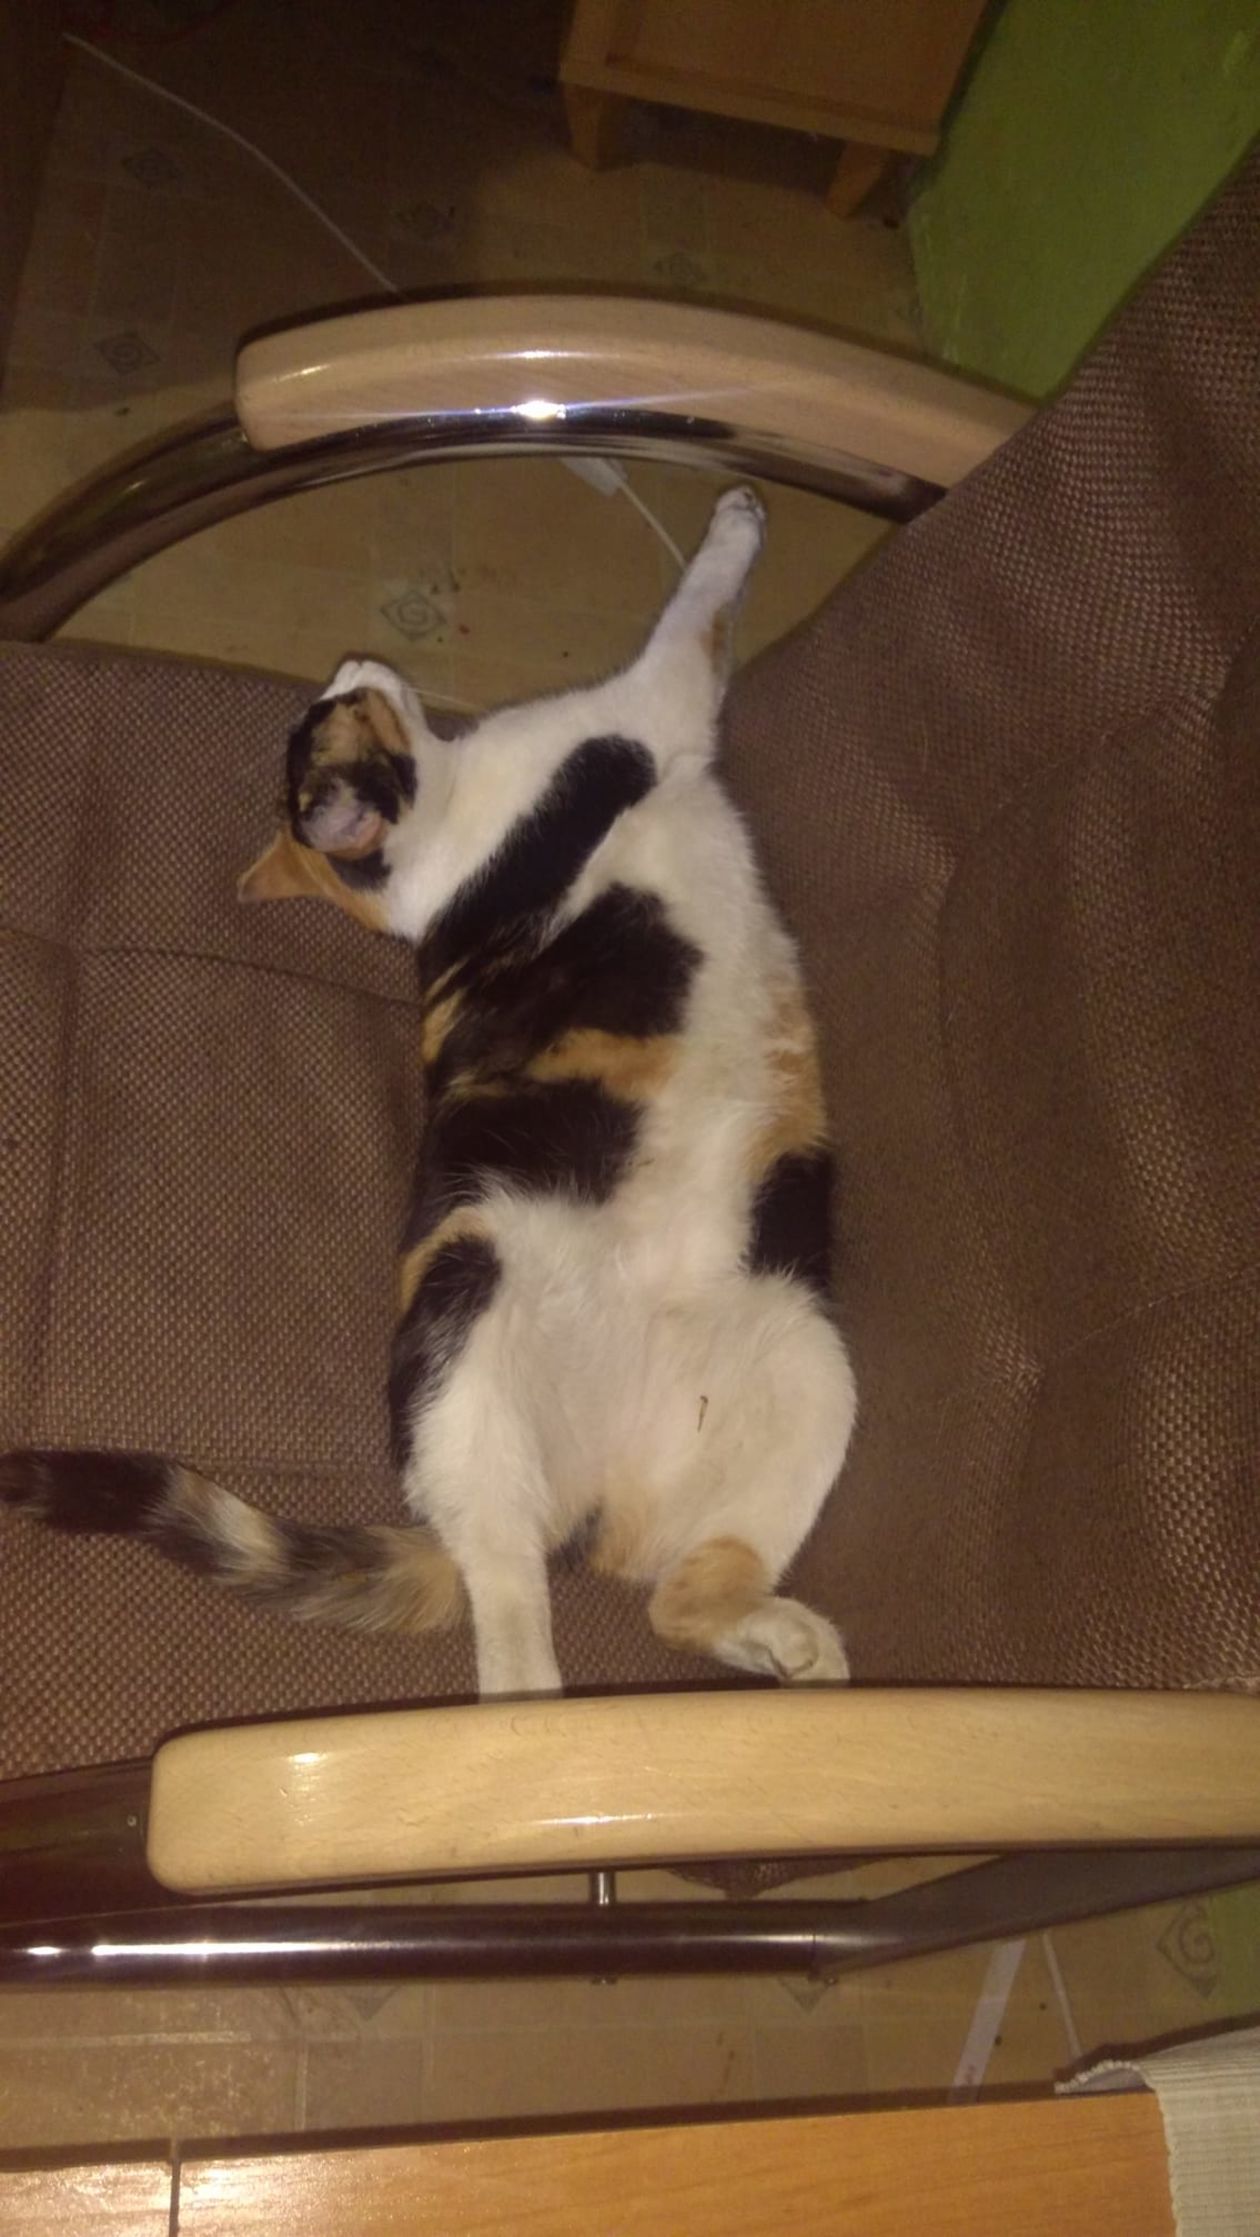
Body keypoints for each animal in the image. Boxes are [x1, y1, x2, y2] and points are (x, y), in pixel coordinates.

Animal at [1, 488, 856, 1696]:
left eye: (325, 717)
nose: (343, 665)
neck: (436, 856)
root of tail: (594, 1505)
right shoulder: (639, 715)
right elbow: (695, 614)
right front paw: (737, 522)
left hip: (809, 1364)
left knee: (679, 1601)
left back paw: (792, 1646)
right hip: (470, 1342)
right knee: (509, 1624)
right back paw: (544, 1726)